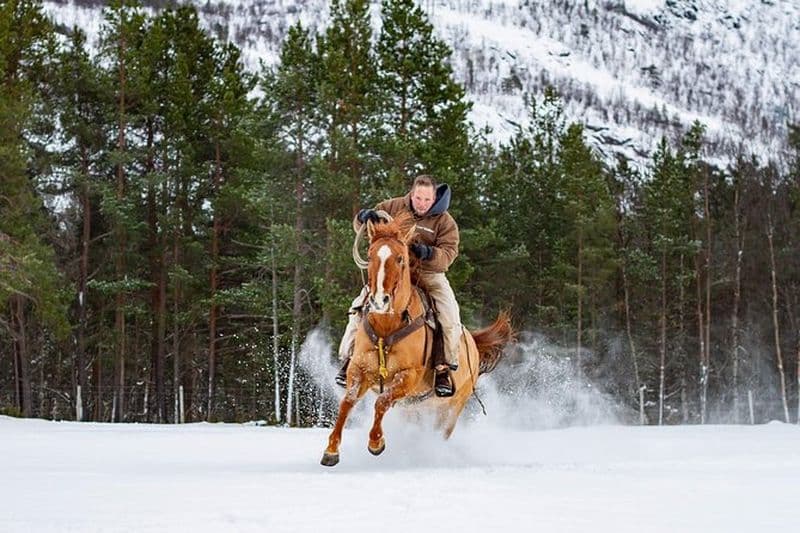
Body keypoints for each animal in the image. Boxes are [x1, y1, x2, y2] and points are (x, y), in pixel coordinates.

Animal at [321, 212, 514, 467]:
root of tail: (473, 343)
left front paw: (376, 443)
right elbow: (347, 402)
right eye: (370, 255)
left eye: (401, 258)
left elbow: (381, 401)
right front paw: (331, 451)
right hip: (415, 407)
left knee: (440, 432)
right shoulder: (359, 370)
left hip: (452, 407)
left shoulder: (408, 376)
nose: (379, 301)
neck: (387, 327)